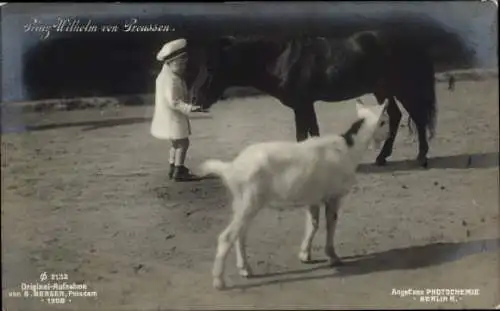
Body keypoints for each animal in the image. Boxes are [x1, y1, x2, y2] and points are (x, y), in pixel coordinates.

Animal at [199, 99, 390, 290]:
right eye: (385, 121)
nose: (388, 135)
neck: (349, 148)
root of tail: (231, 168)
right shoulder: (333, 196)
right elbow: (330, 224)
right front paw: (333, 257)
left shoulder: (313, 198)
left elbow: (313, 224)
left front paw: (305, 254)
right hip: (250, 201)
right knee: (226, 237)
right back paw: (219, 280)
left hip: (241, 203)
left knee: (240, 234)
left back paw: (245, 269)